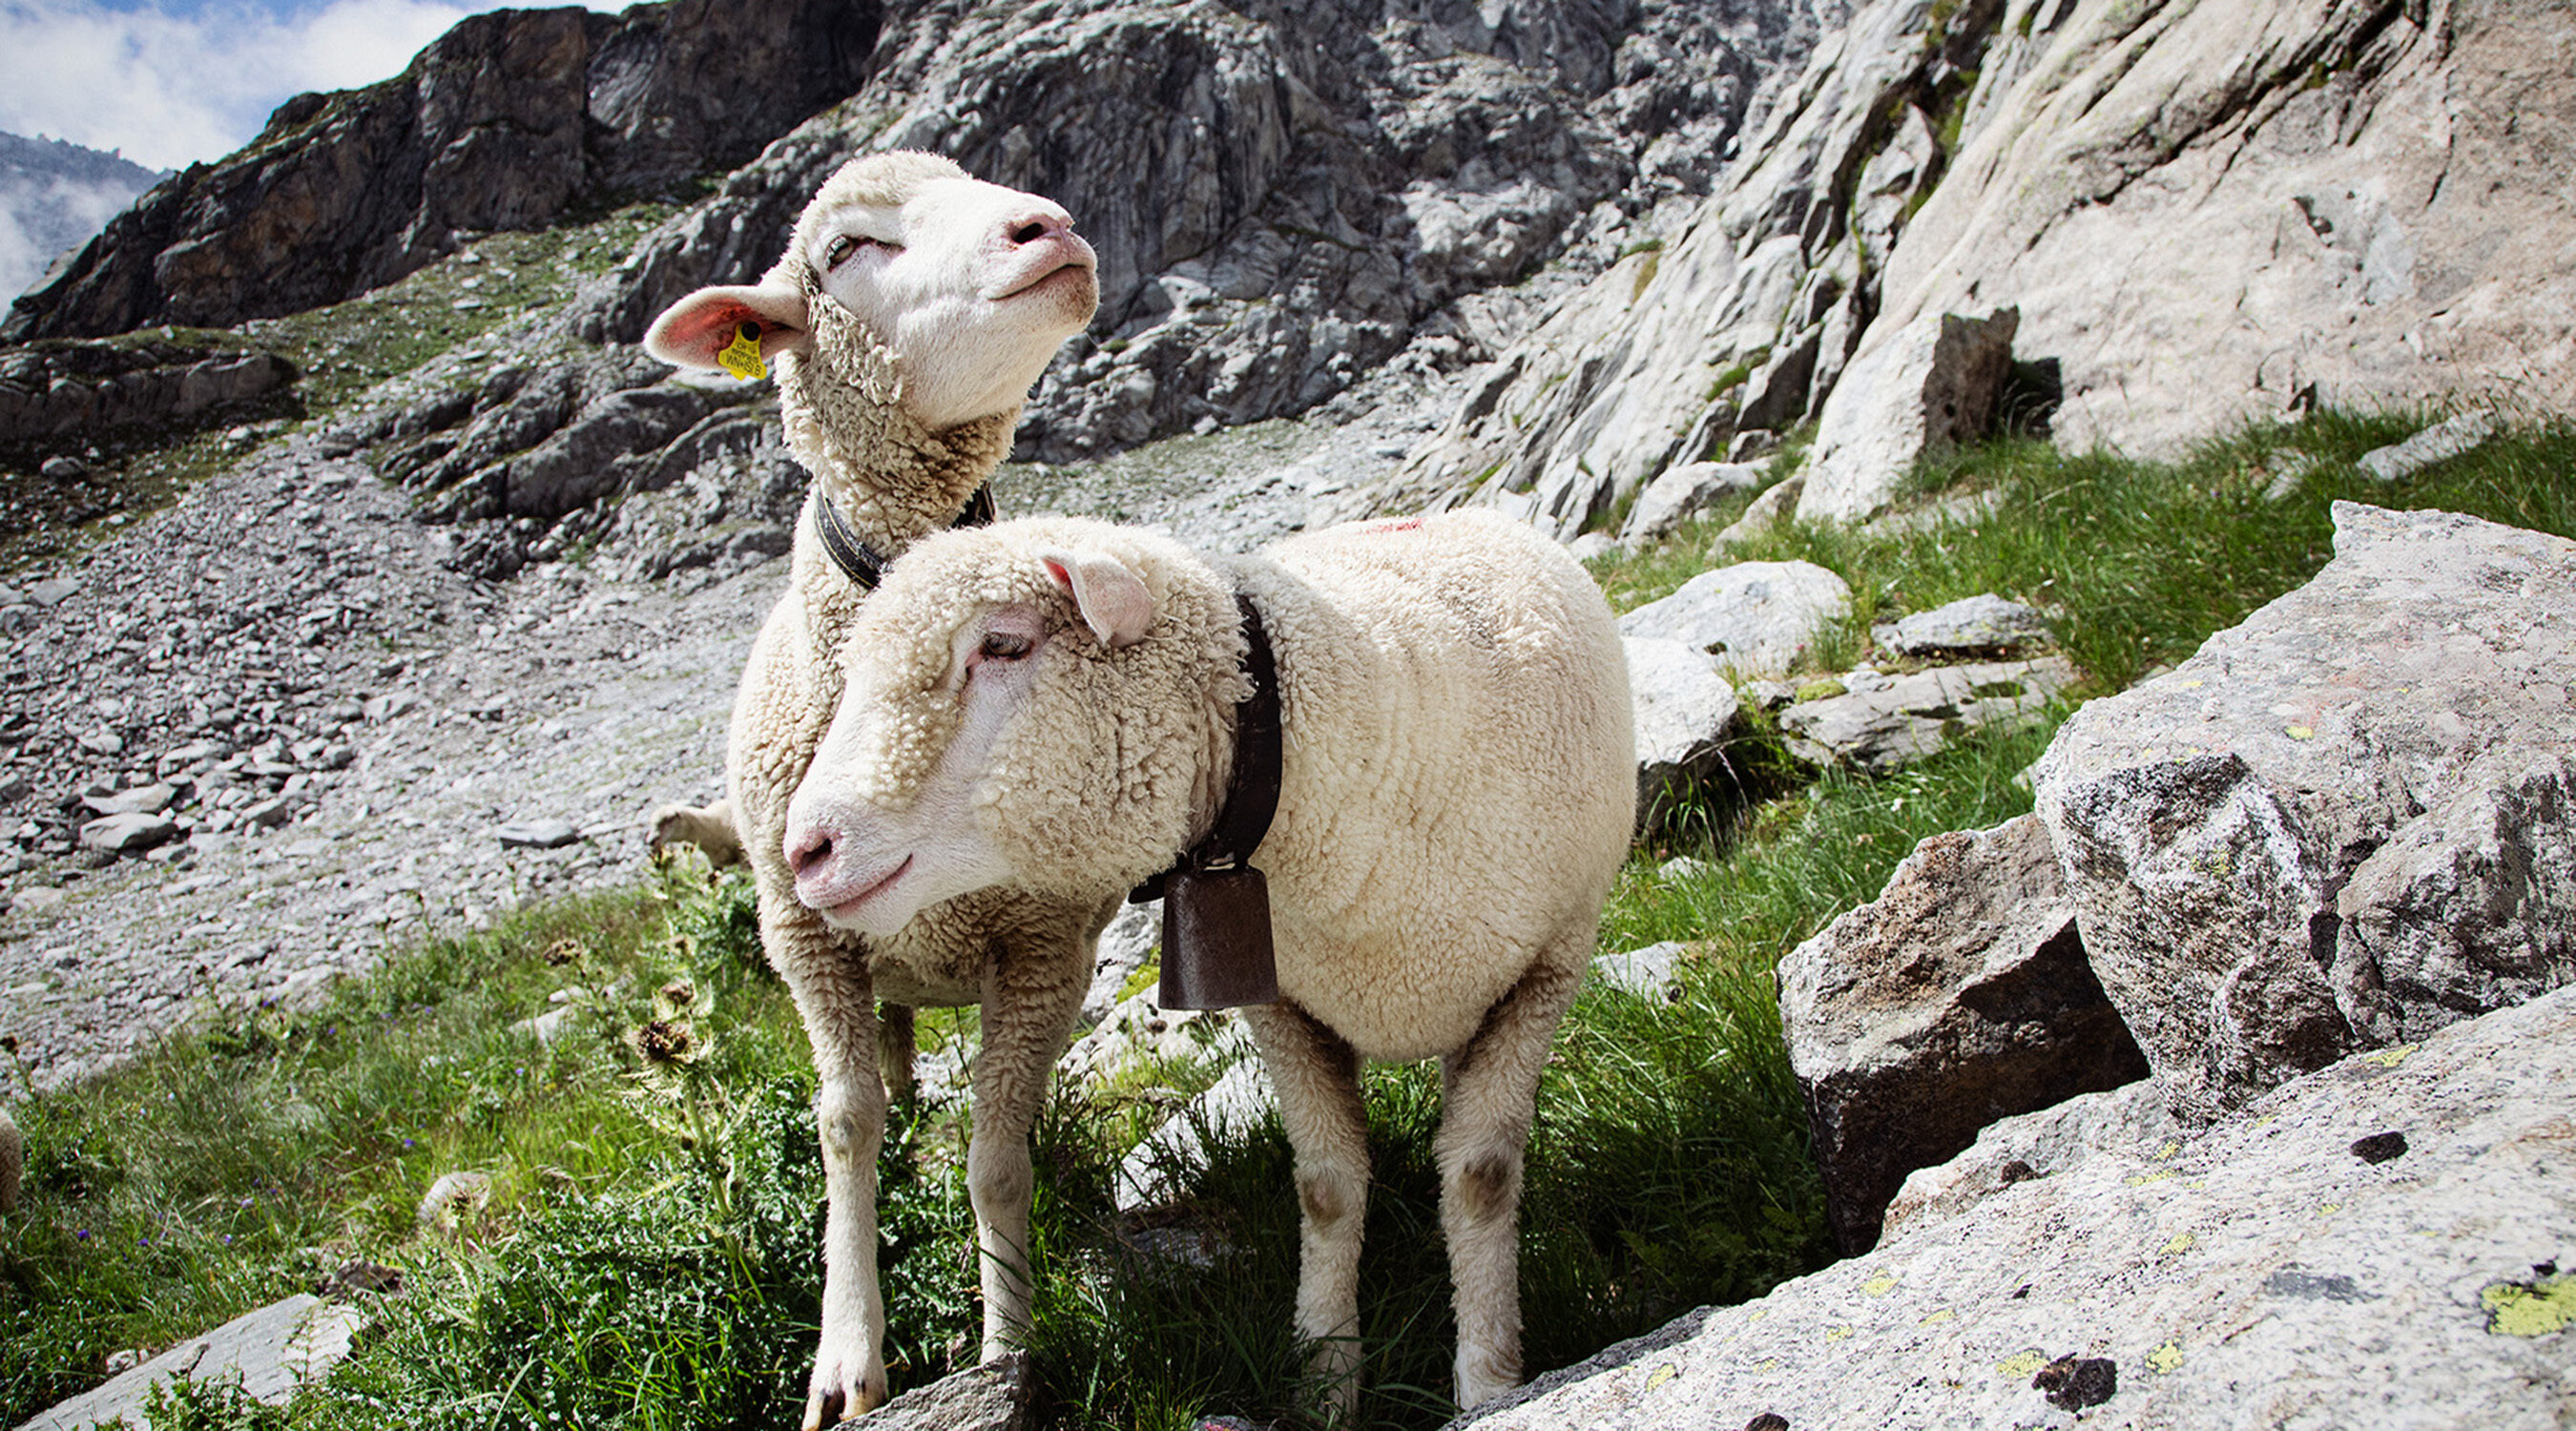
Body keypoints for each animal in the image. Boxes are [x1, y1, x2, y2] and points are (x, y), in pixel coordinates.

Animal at [638, 151, 1102, 1421]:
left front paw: (1003, 1341)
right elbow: (844, 1125)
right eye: (844, 250)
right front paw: (847, 1359)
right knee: (885, 1080)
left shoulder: (1042, 943)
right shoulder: (803, 935)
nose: (1051, 227)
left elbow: (997, 1154)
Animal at [778, 509, 1628, 1410]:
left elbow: (1480, 1175)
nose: (805, 851)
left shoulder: (1545, 972)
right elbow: (1327, 1187)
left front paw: (1491, 1377)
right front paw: (1325, 1378)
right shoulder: (1285, 1007)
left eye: (1003, 645)